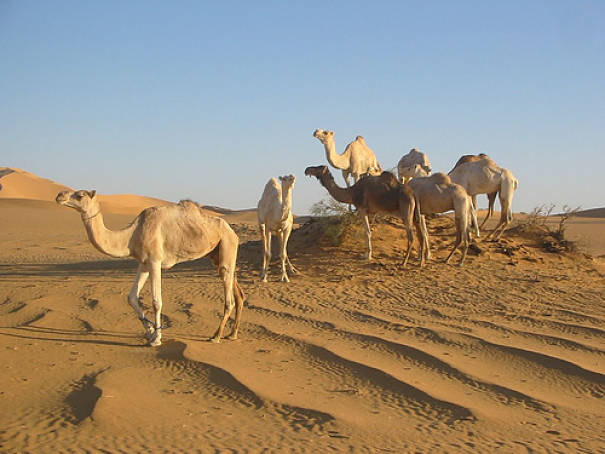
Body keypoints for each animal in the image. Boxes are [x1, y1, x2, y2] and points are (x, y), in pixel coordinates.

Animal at [55, 190, 244, 346]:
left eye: (80, 195)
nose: (59, 195)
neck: (131, 235)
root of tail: (233, 232)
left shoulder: (155, 261)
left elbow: (156, 302)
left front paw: (157, 339)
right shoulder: (144, 263)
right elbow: (131, 297)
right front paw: (150, 331)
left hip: (227, 244)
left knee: (229, 299)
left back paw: (216, 336)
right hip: (217, 255)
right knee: (238, 292)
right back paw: (232, 334)